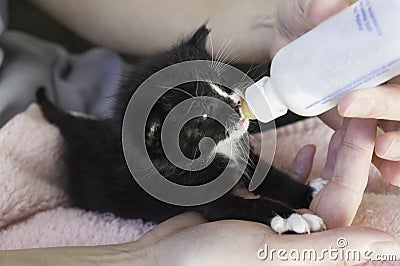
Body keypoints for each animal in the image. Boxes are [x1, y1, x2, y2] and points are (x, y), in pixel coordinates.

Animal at [36, 24, 326, 233]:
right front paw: (290, 218)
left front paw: (309, 192)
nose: (236, 103)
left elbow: (275, 178)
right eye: (203, 113)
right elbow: (252, 206)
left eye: (219, 81)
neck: (217, 151)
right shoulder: (204, 197)